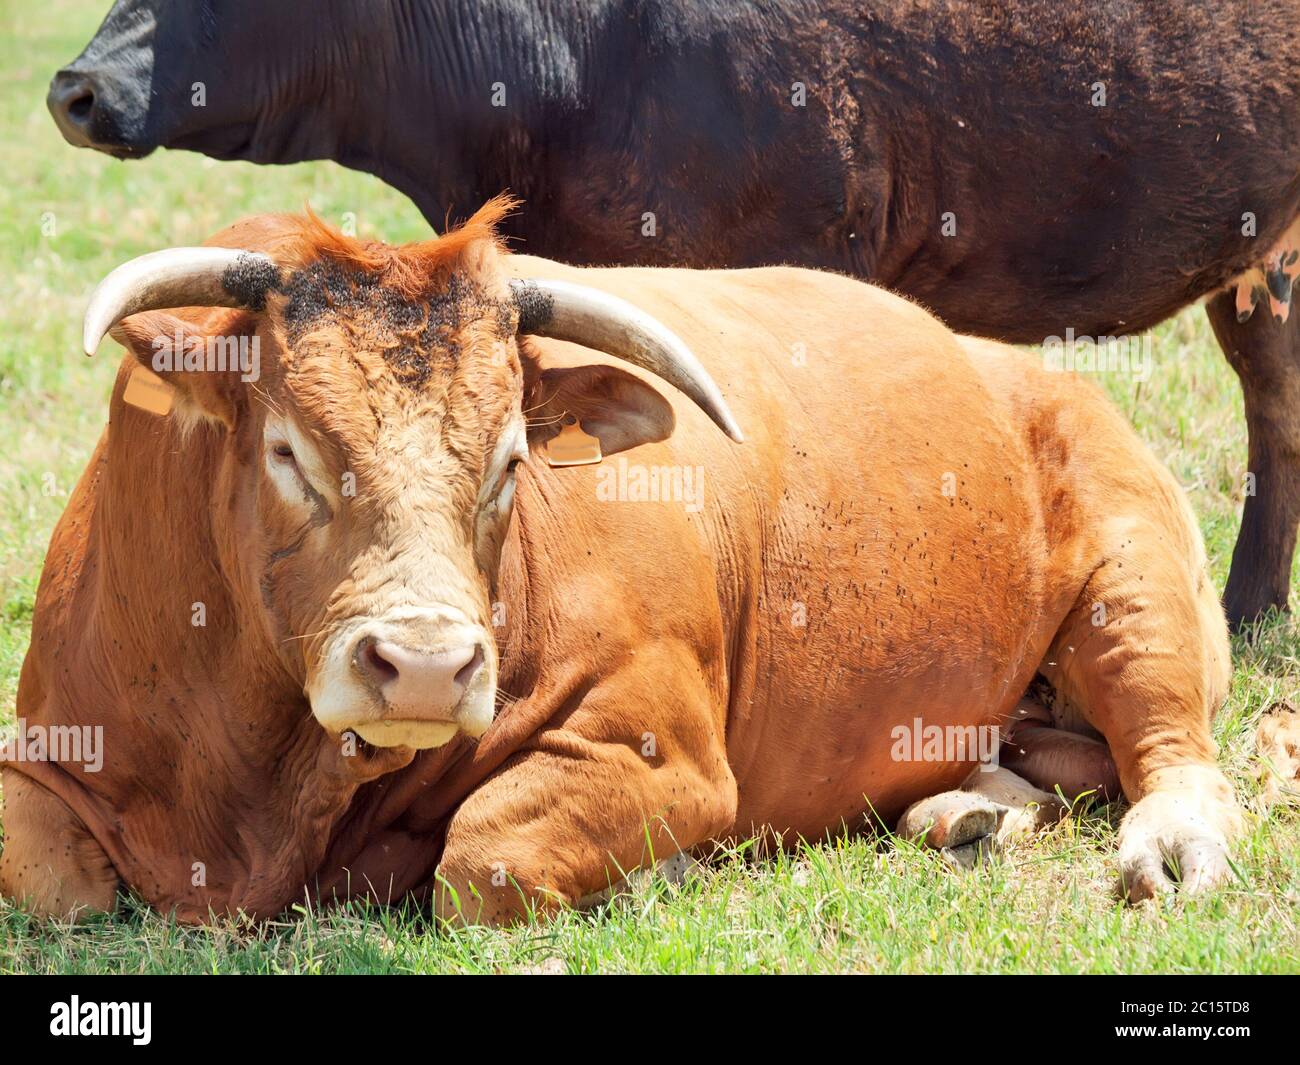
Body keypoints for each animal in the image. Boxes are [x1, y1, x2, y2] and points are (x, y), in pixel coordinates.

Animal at [0, 203, 1242, 924]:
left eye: (510, 459)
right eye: (288, 451)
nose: (426, 666)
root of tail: (1014, 365)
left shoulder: (663, 753)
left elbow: (484, 860)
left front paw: (668, 868)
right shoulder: (51, 750)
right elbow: (53, 884)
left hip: (1136, 577)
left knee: (1170, 748)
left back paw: (1165, 842)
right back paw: (964, 809)